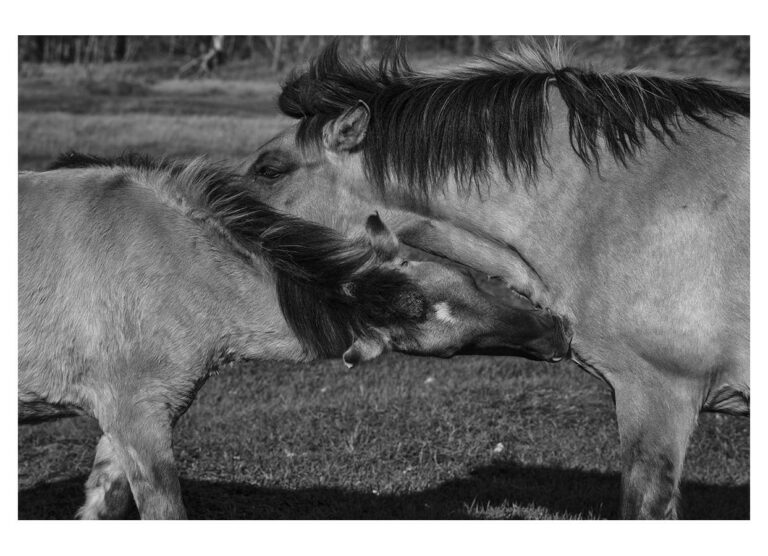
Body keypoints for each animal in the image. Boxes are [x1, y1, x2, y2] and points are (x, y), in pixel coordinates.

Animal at [18, 152, 571, 519]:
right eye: (451, 343)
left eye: (469, 280)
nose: (557, 332)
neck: (175, 265)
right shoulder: (138, 418)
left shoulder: (128, 424)